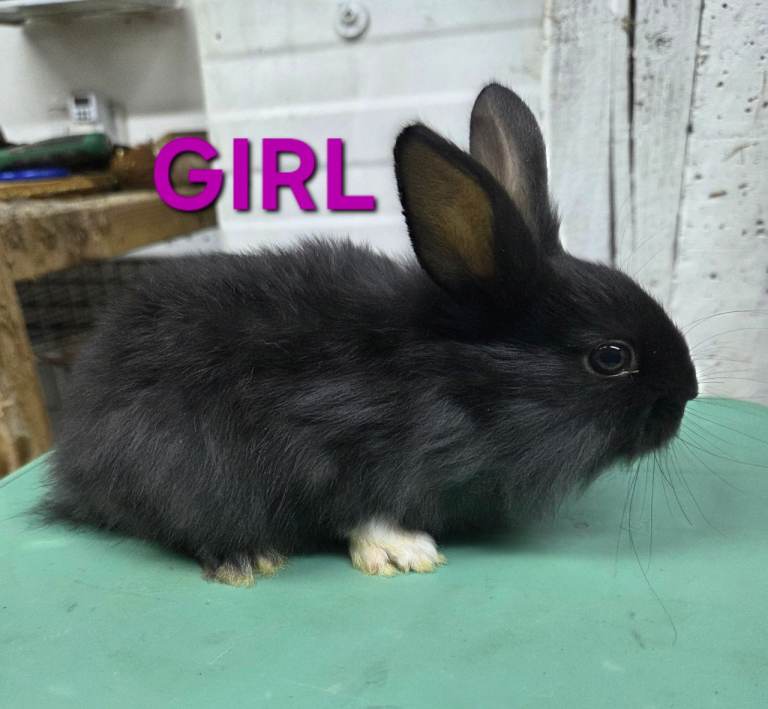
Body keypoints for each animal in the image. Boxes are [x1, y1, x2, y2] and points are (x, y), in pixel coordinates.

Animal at [42, 83, 698, 585]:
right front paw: (404, 549)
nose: (686, 395)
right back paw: (244, 556)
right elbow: (359, 506)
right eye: (611, 357)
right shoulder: (325, 441)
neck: (456, 381)